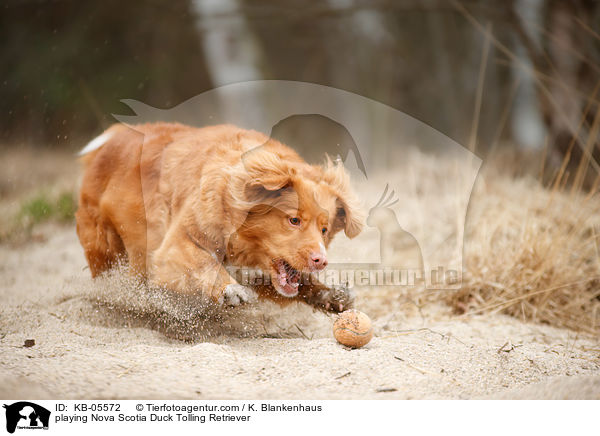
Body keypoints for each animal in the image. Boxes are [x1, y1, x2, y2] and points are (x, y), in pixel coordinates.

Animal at [77, 122, 364, 312]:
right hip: (104, 246)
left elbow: (299, 284)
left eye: (324, 229)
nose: (321, 261)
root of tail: (113, 138)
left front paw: (330, 294)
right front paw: (229, 290)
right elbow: (203, 261)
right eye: (294, 220)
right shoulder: (175, 243)